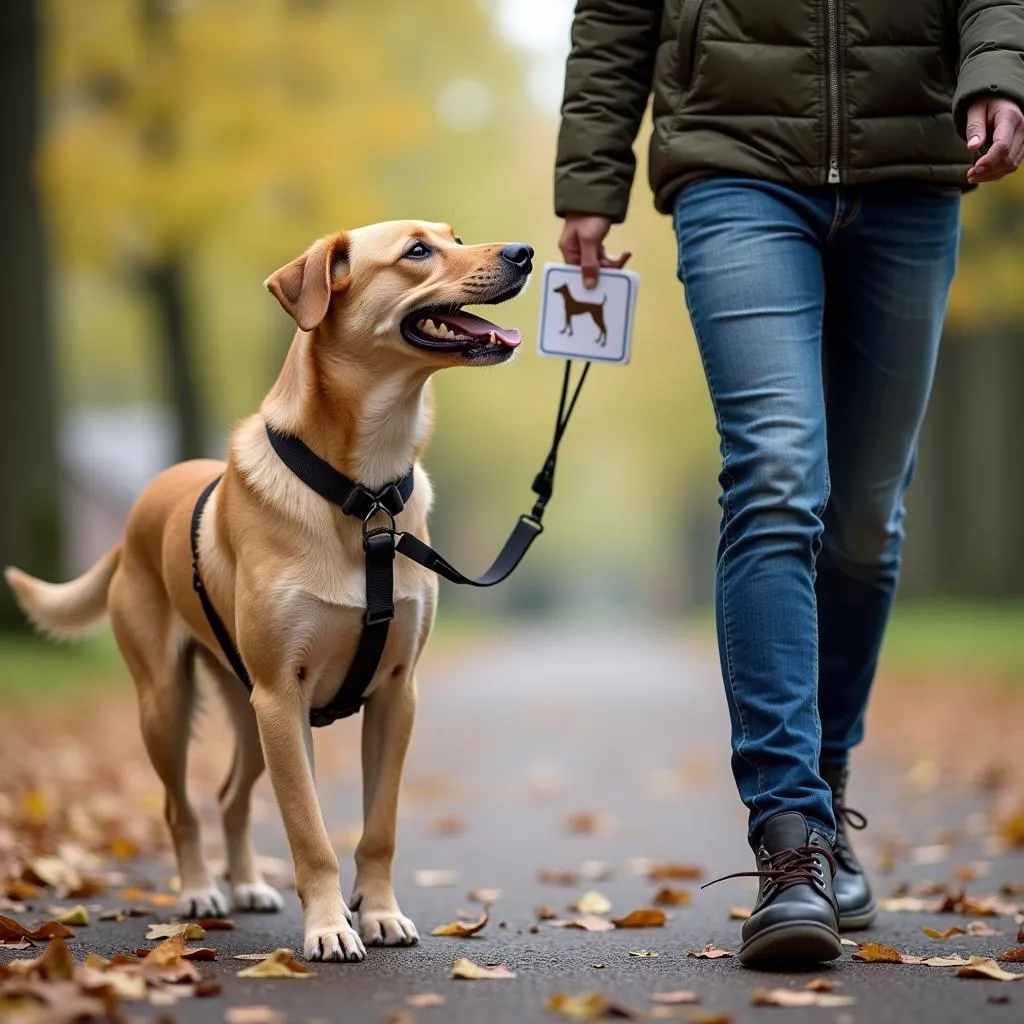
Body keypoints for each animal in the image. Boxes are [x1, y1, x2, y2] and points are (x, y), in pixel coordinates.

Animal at [6, 220, 536, 962]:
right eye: (417, 251)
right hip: (171, 704)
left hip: (248, 707)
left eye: (454, 236)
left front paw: (377, 913)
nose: (525, 253)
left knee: (231, 796)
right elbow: (309, 831)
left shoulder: (394, 693)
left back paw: (248, 885)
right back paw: (202, 891)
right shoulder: (284, 696)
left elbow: (379, 827)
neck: (364, 493)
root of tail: (135, 515)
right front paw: (329, 926)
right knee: (181, 805)